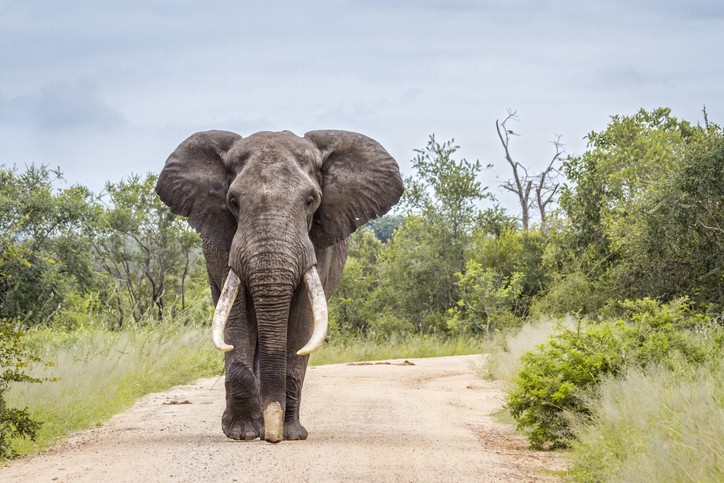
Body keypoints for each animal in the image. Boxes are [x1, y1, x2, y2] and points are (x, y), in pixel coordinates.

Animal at [155, 129, 403, 443]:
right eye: (233, 201)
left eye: (311, 201)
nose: (273, 437)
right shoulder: (227, 244)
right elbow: (236, 318)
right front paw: (243, 433)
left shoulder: (317, 245)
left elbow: (300, 323)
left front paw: (290, 434)